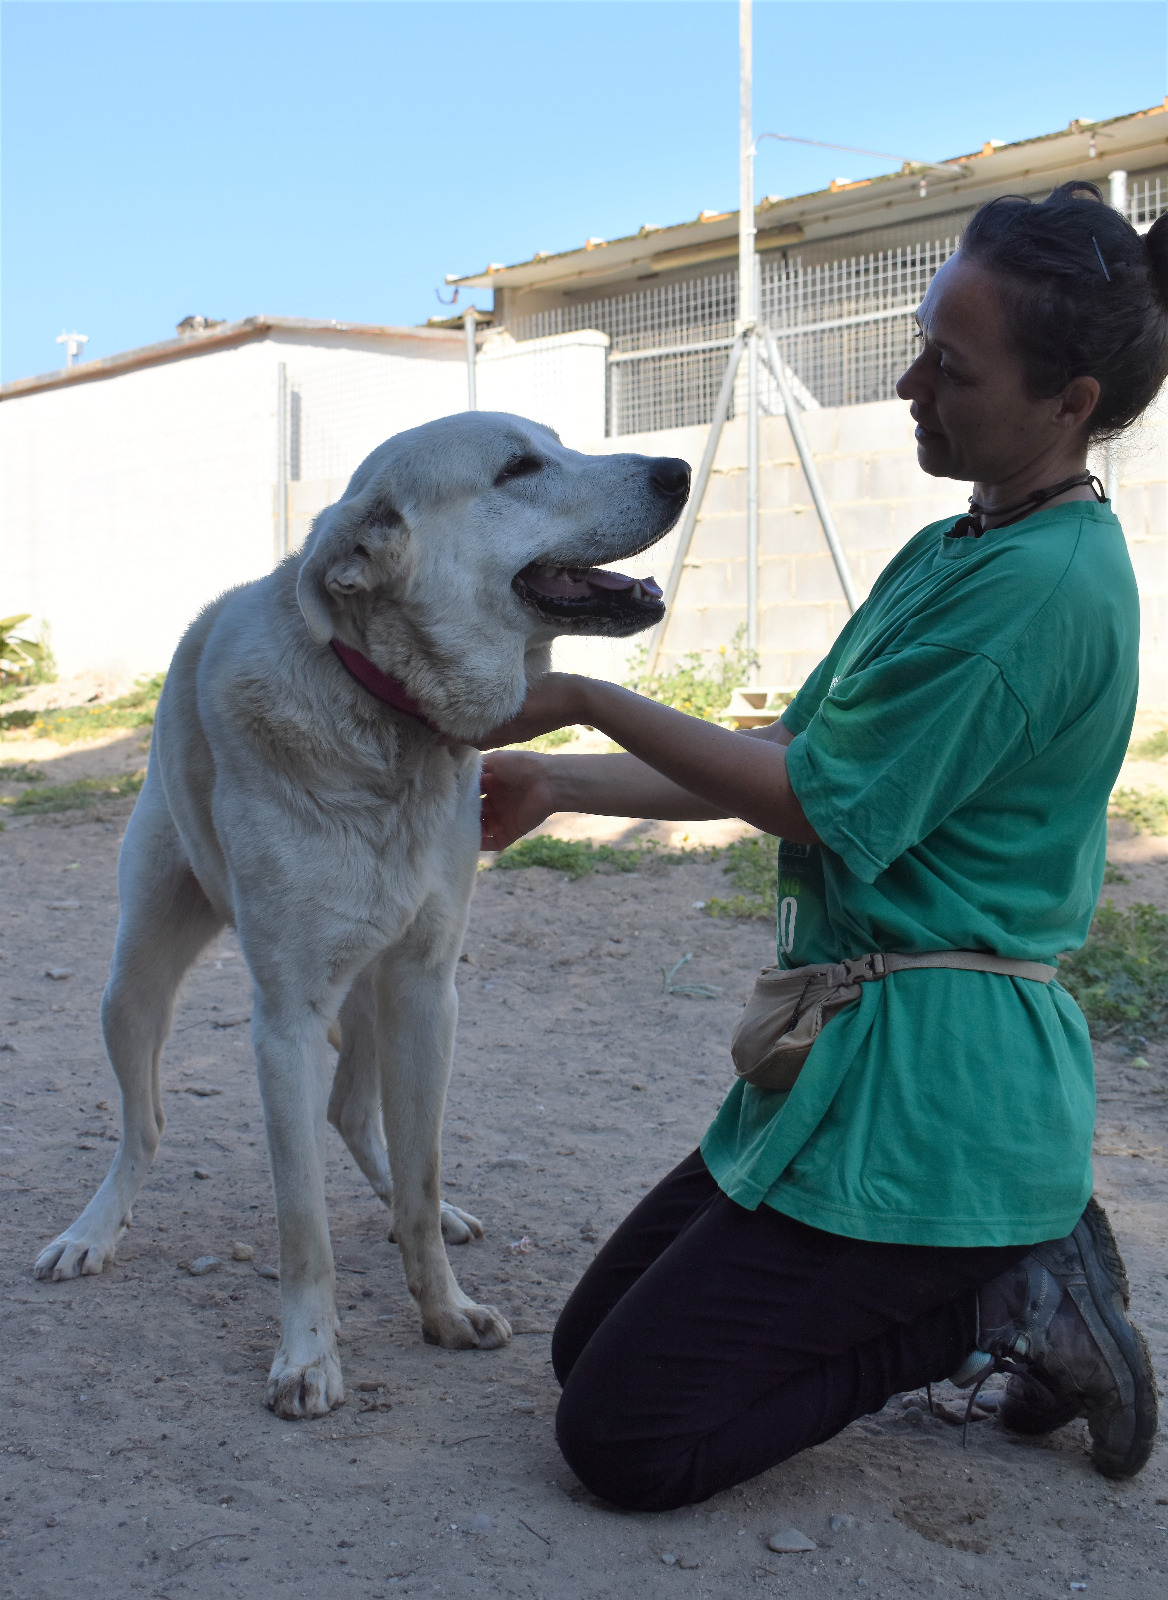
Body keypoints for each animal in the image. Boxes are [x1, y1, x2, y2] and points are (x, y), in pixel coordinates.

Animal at [34, 409, 691, 1414]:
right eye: (519, 467)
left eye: (558, 442)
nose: (679, 470)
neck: (388, 719)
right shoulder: (287, 1021)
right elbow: (302, 1224)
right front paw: (308, 1356)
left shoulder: (427, 985)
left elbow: (420, 1174)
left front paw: (445, 1307)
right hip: (134, 987)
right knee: (144, 1128)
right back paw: (93, 1230)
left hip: (380, 992)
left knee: (354, 1114)